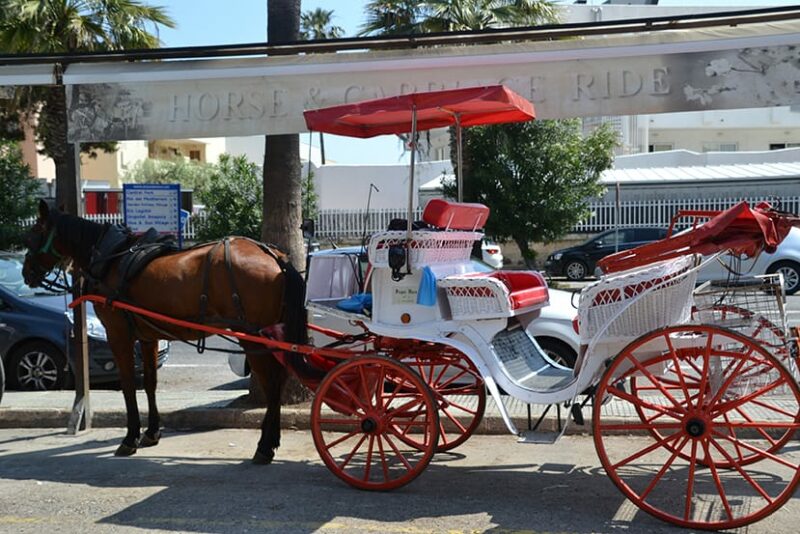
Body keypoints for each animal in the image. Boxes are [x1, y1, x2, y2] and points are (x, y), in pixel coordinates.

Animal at [21, 201, 310, 464]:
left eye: (33, 234)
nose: (26, 273)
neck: (111, 259)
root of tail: (275, 257)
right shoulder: (148, 337)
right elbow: (150, 383)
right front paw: (151, 433)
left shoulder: (118, 334)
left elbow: (128, 385)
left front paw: (130, 438)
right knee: (279, 380)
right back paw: (271, 440)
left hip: (252, 337)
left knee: (271, 384)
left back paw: (264, 446)